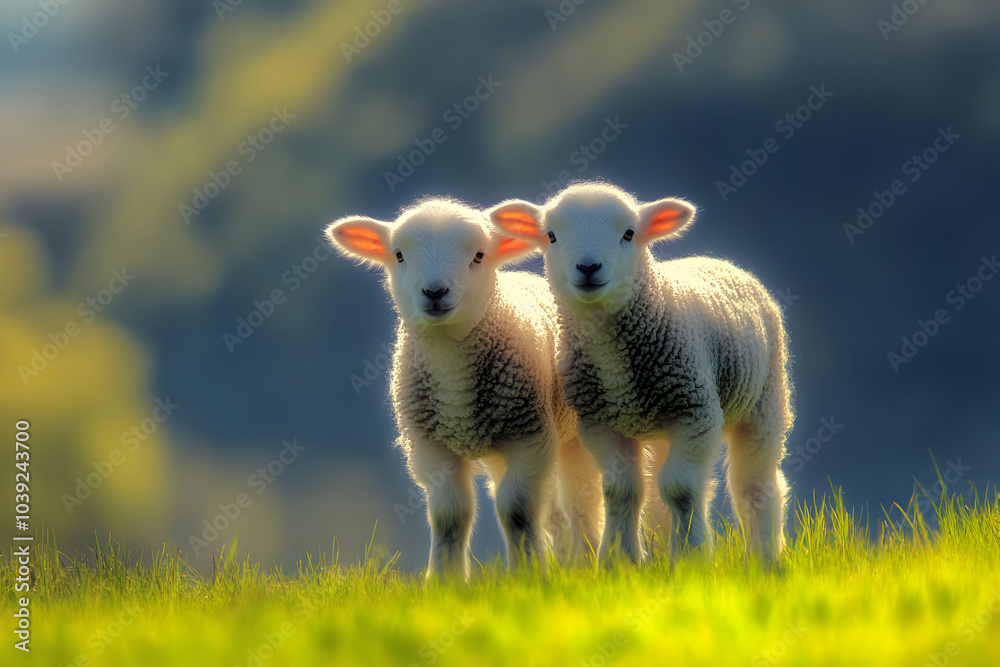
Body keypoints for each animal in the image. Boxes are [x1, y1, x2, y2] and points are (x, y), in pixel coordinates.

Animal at [326, 198, 604, 578]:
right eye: (398, 255)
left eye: (479, 255)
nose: (434, 292)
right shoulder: (430, 446)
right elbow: (450, 518)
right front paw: (446, 581)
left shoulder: (530, 436)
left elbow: (517, 512)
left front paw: (527, 574)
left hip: (571, 435)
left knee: (579, 505)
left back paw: (587, 562)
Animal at [489, 182, 793, 563]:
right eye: (551, 235)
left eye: (629, 233)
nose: (588, 267)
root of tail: (720, 260)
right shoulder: (601, 423)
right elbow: (622, 490)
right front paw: (620, 560)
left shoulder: (696, 413)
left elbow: (680, 488)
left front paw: (691, 556)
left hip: (765, 399)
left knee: (755, 485)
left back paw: (765, 558)